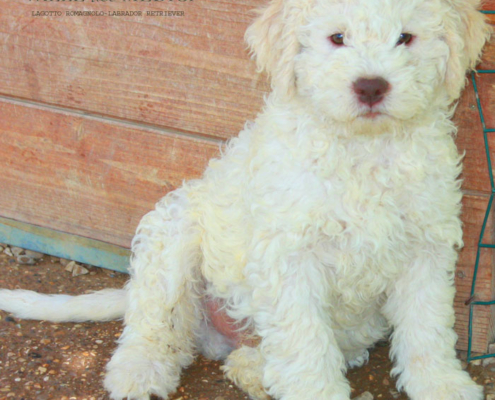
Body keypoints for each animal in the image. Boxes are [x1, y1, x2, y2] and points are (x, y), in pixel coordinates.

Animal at [0, 0, 492, 400]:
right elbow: (305, 340)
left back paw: (256, 371)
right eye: (337, 38)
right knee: (154, 325)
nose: (371, 87)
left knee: (259, 351)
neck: (364, 149)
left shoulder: (425, 248)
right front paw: (317, 391)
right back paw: (138, 373)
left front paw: (442, 385)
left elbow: (427, 329)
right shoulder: (290, 255)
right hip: (173, 235)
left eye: (405, 37)